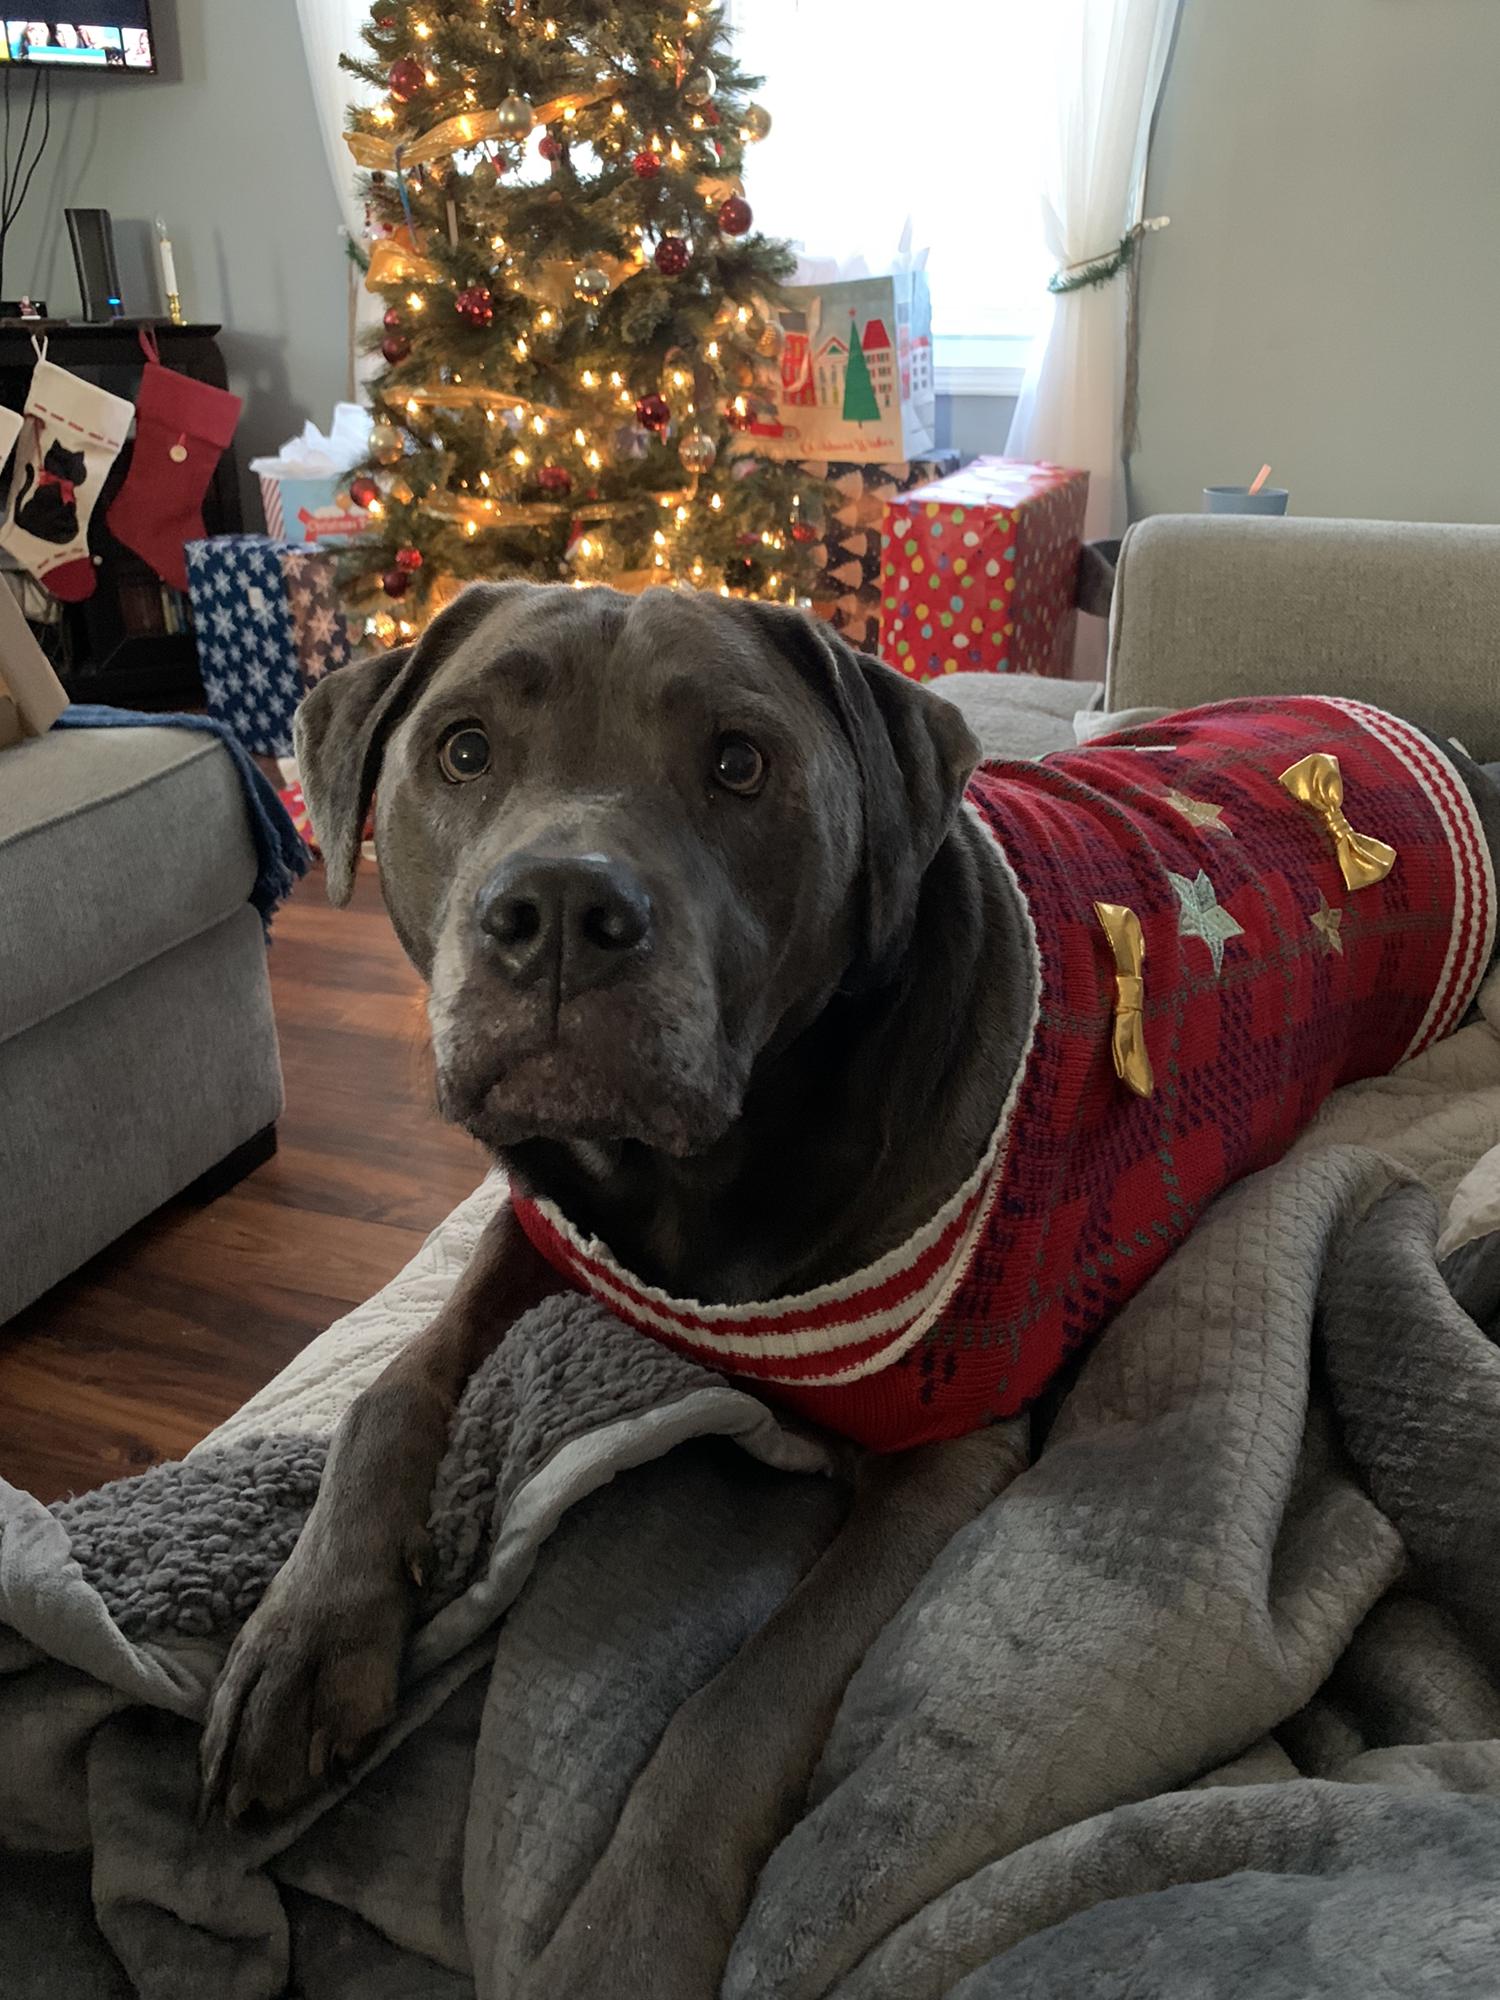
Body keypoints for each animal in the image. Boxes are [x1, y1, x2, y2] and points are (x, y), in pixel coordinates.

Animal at [203, 580, 1500, 1984]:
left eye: (739, 762)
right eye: (463, 749)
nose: (556, 910)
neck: (684, 1184)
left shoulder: (944, 1454)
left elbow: (739, 1706)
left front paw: (624, 1940)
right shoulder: (544, 1229)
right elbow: (389, 1388)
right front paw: (303, 1634)